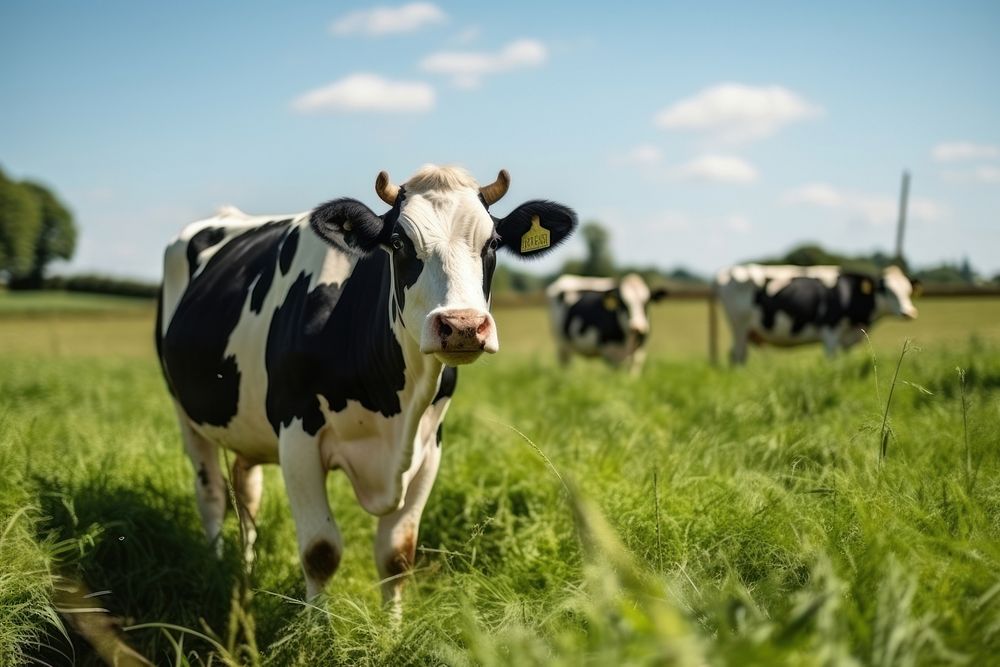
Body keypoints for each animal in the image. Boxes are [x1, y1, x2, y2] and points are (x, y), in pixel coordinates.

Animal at [156, 164, 580, 608]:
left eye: (493, 242)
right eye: (398, 242)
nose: (462, 325)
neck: (392, 407)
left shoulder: (429, 446)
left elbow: (397, 555)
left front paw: (393, 625)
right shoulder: (297, 435)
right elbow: (320, 551)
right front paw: (316, 627)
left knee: (245, 491)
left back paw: (246, 570)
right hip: (185, 411)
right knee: (211, 494)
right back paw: (219, 568)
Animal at [716, 262, 916, 366]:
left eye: (908, 289)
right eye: (887, 290)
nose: (909, 312)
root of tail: (727, 272)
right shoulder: (830, 331)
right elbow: (832, 360)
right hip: (739, 326)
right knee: (738, 356)